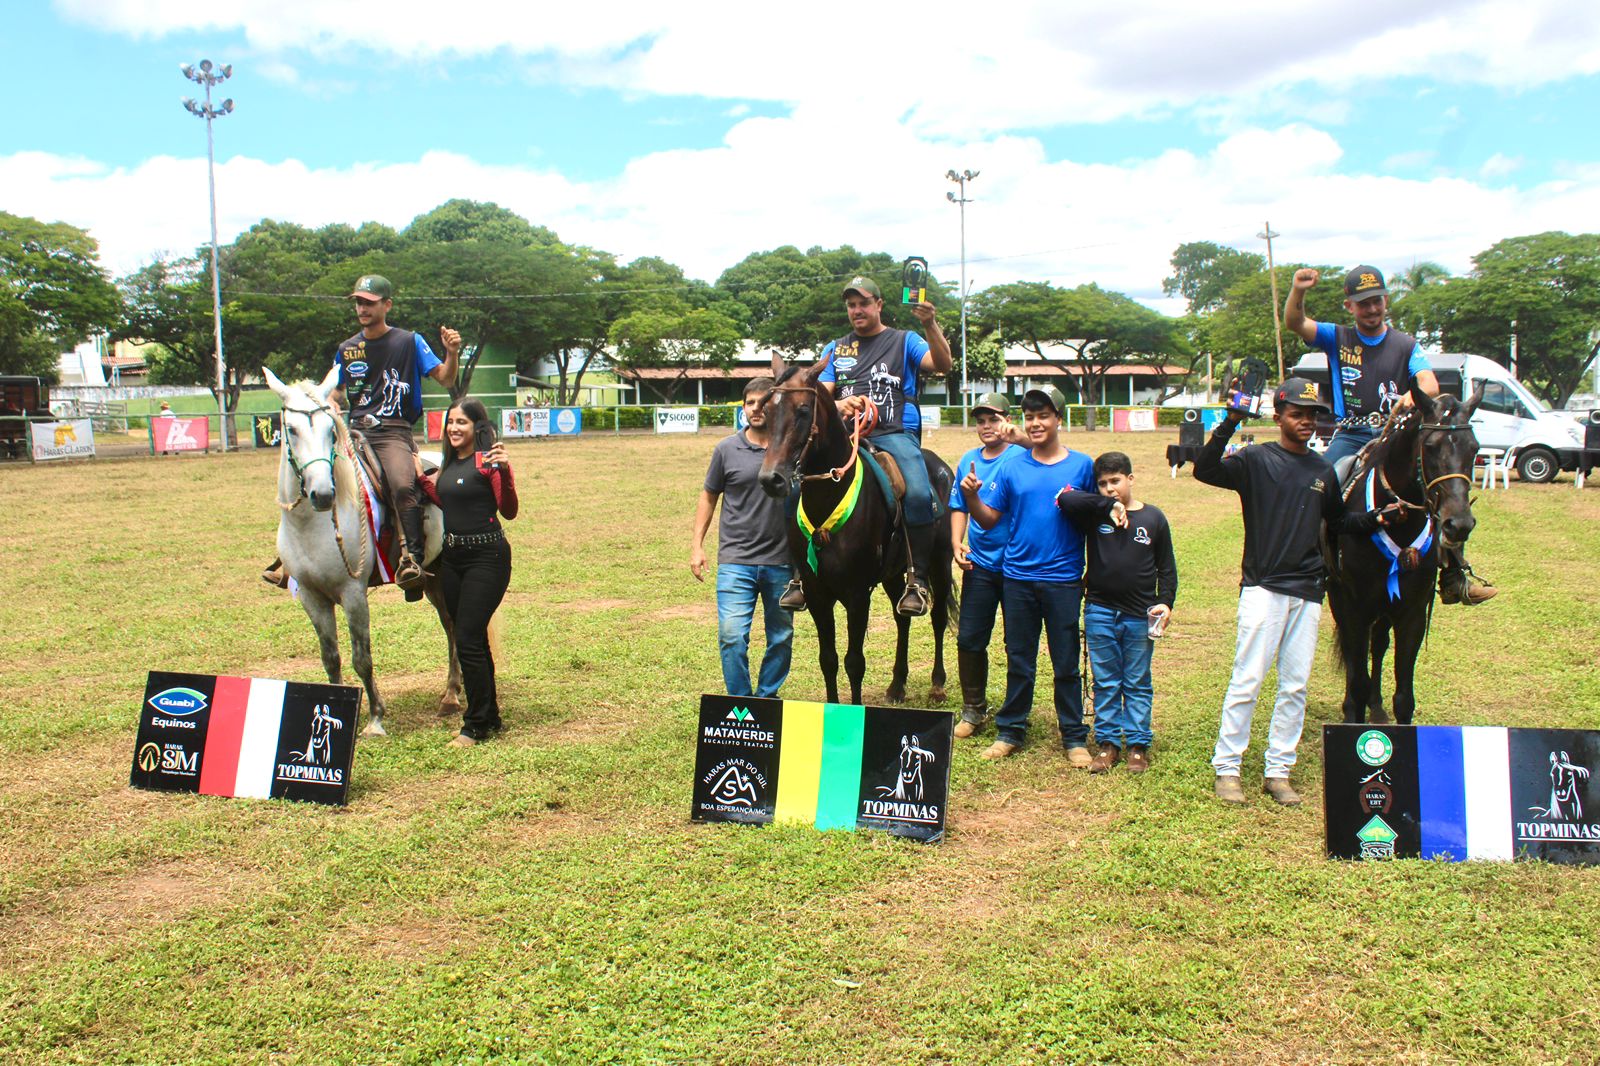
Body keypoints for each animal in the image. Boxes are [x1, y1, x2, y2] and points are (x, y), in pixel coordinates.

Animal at [264, 366, 462, 736]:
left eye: (330, 431)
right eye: (292, 430)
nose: (322, 494)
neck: (311, 526)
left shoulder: (353, 593)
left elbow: (362, 657)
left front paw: (375, 719)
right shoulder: (312, 596)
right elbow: (331, 658)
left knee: (454, 625)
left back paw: (452, 695)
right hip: (431, 579)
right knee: (449, 625)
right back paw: (451, 693)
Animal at [756, 354, 954, 706]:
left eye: (803, 410)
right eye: (767, 411)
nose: (771, 479)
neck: (829, 496)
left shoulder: (857, 594)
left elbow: (854, 662)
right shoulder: (817, 594)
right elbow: (829, 660)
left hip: (940, 562)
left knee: (938, 617)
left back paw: (937, 684)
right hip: (893, 573)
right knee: (902, 618)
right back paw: (897, 685)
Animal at [1327, 381, 1484, 725]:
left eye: (1474, 448)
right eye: (1431, 446)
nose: (1458, 524)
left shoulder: (1411, 612)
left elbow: (1404, 697)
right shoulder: (1355, 607)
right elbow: (1357, 677)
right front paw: (1352, 715)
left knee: (1378, 645)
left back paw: (1376, 707)